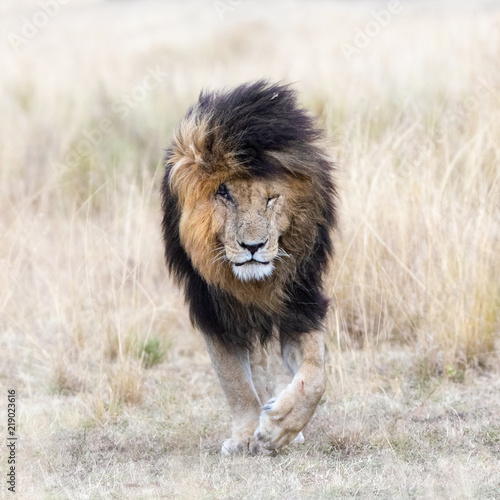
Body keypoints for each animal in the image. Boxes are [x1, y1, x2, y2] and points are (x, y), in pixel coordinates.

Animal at [162, 80, 338, 456]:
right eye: (224, 194)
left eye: (271, 198)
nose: (253, 247)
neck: (253, 283)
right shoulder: (213, 312)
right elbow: (235, 382)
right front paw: (245, 436)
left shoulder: (300, 303)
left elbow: (316, 376)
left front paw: (280, 428)